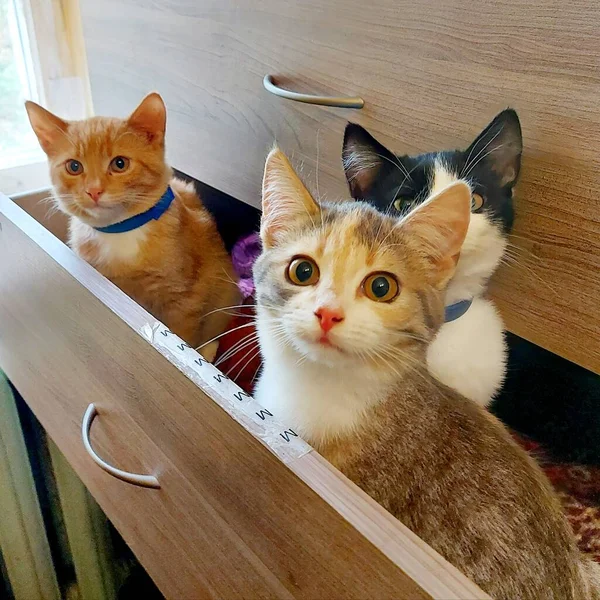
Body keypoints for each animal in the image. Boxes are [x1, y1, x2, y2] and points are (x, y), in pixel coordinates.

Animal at [25, 95, 238, 358]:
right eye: (74, 167)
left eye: (119, 163)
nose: (94, 191)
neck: (121, 230)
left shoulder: (183, 300)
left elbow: (185, 338)